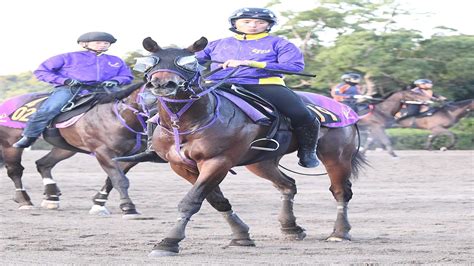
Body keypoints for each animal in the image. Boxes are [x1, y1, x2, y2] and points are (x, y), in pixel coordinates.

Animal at [0, 83, 156, 218]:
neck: (116, 116)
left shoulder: (131, 156)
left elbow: (111, 180)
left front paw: (98, 204)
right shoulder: (103, 152)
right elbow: (119, 179)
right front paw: (128, 207)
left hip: (65, 148)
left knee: (43, 164)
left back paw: (51, 196)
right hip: (10, 145)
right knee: (15, 171)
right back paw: (24, 201)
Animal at [139, 36, 368, 256]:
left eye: (189, 62)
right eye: (151, 61)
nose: (163, 84)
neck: (188, 122)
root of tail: (346, 109)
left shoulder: (217, 162)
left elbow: (191, 201)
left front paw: (169, 242)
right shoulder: (180, 166)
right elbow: (216, 200)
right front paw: (241, 235)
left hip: (336, 157)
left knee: (340, 191)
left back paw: (339, 232)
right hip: (261, 162)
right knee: (288, 185)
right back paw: (290, 227)